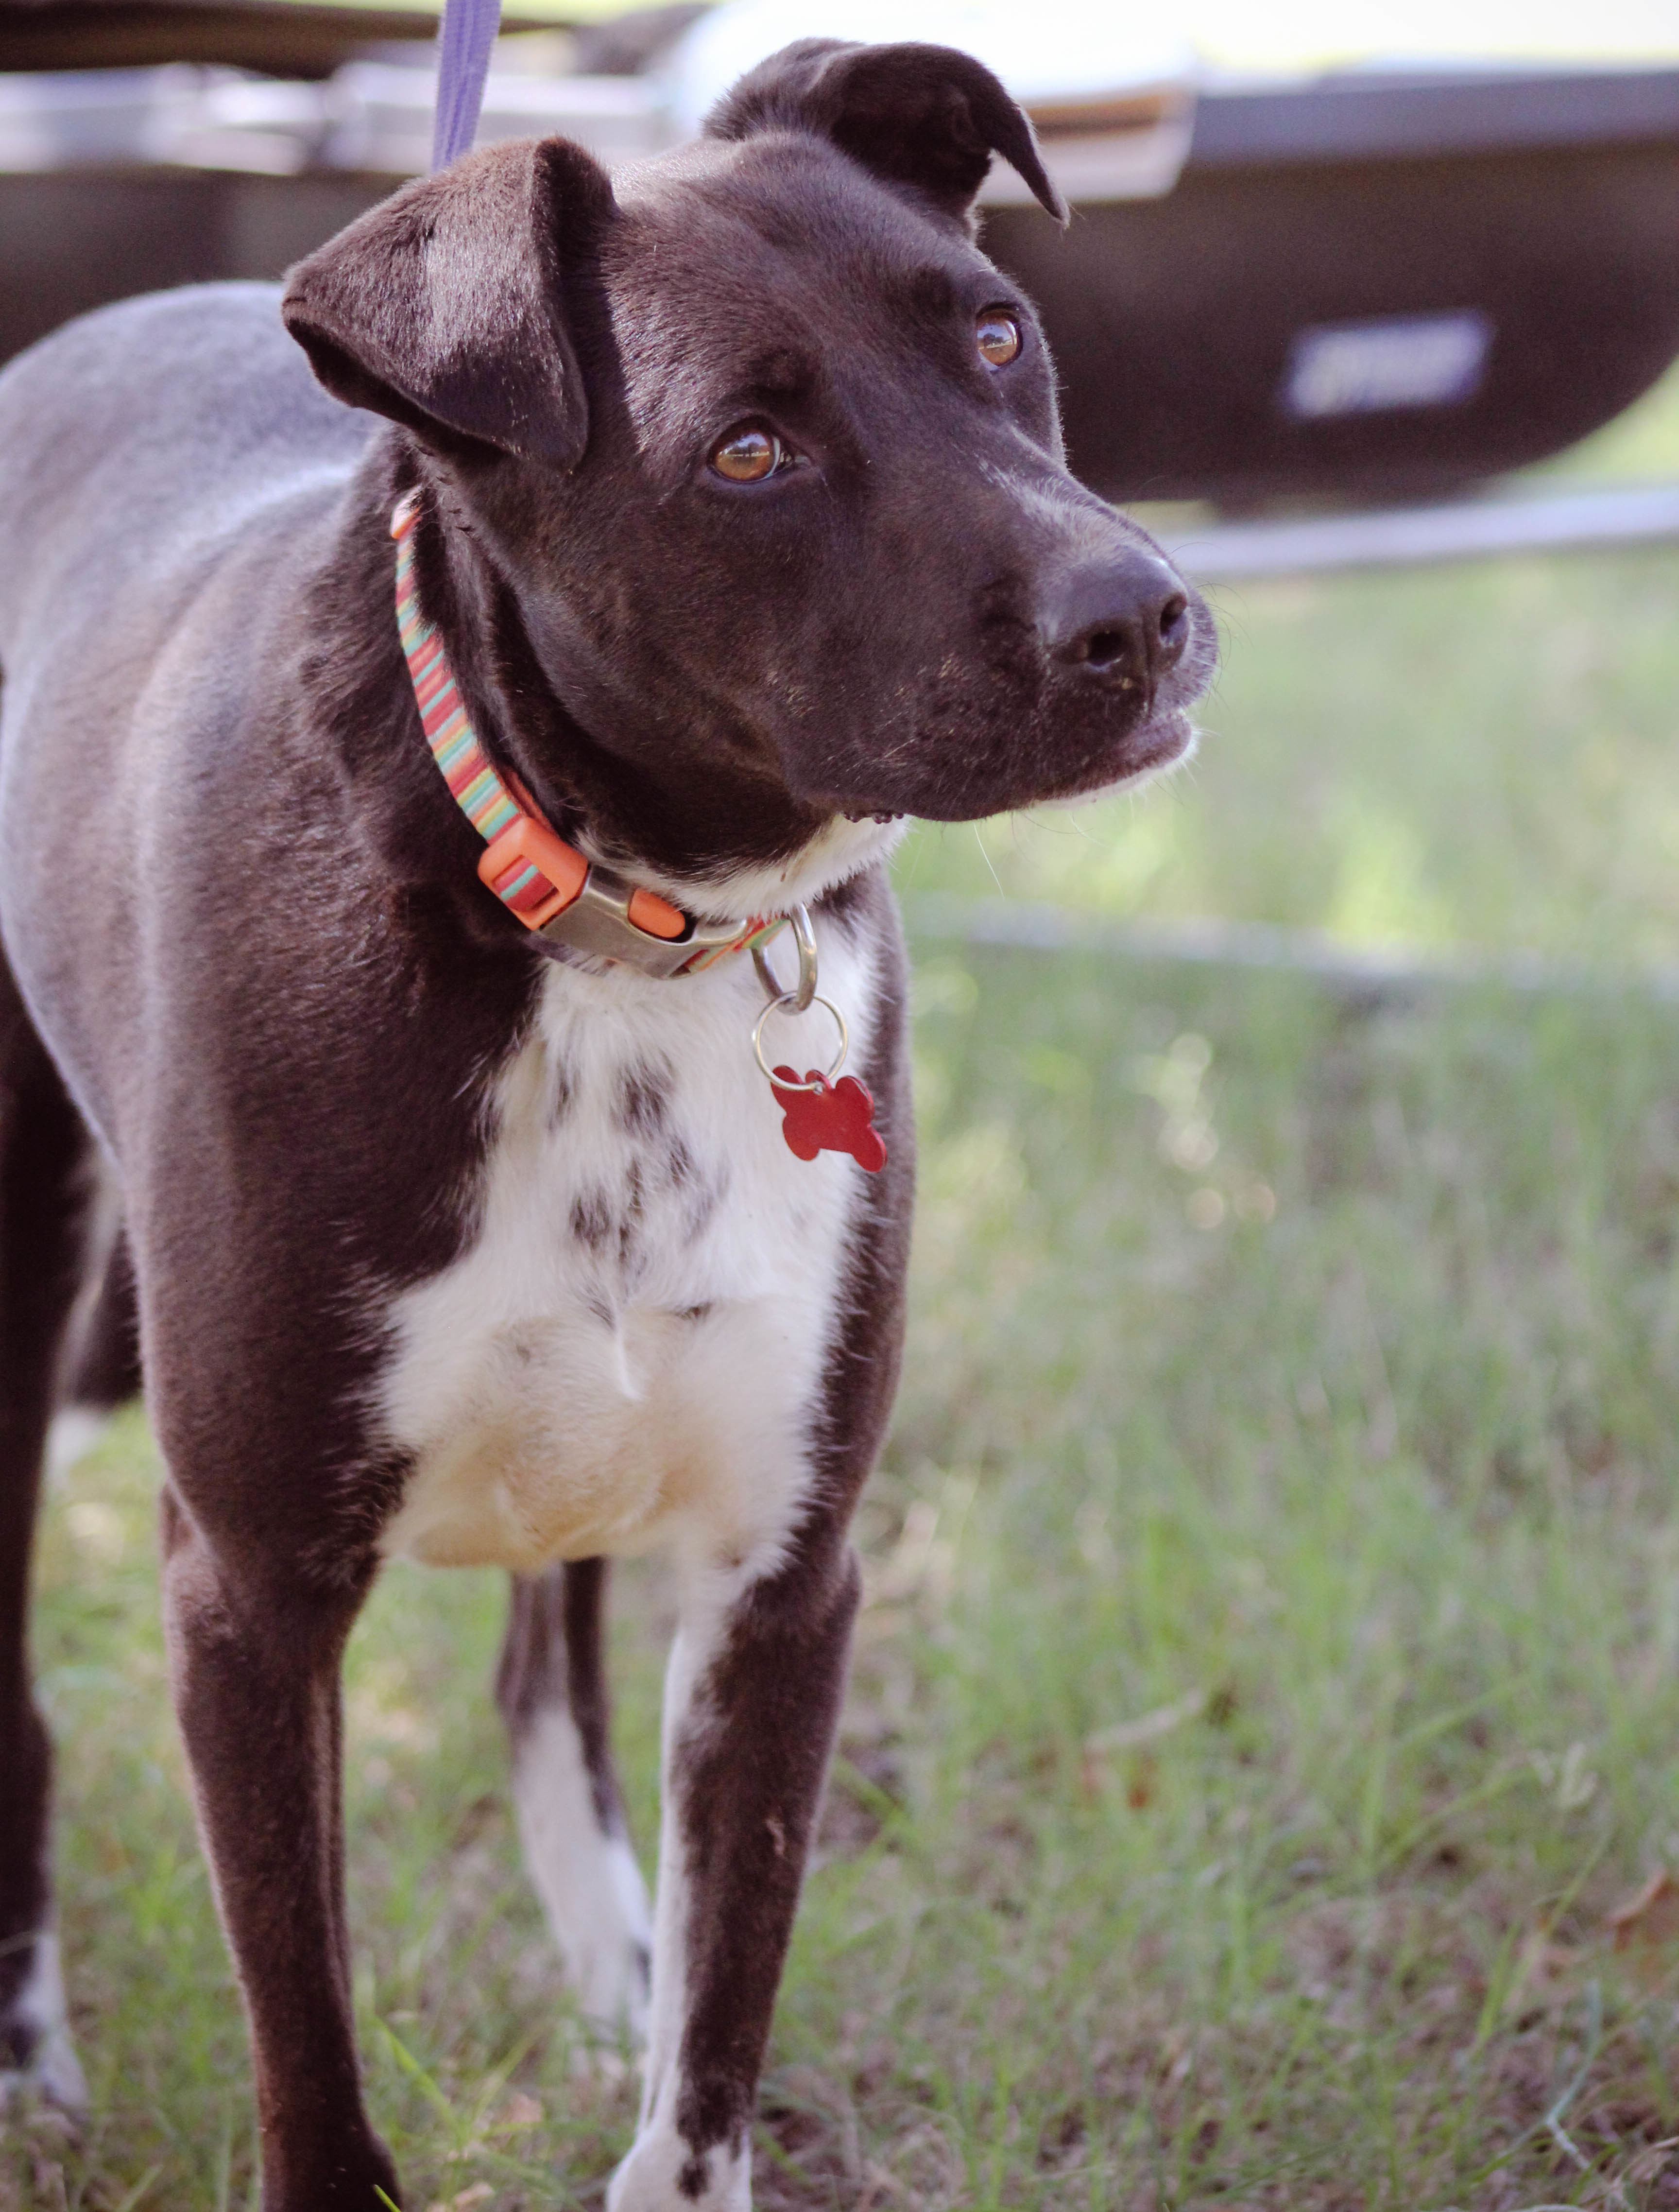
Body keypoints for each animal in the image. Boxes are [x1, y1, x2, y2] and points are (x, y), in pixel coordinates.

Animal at [0, 39, 1212, 2212]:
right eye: (744, 451)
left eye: (996, 332)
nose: (1139, 617)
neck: (608, 918)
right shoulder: (250, 1593)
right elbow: (304, 2038)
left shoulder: (783, 1572)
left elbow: (710, 2058)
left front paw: (659, 2020)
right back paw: (29, 2040)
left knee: (536, 1671)